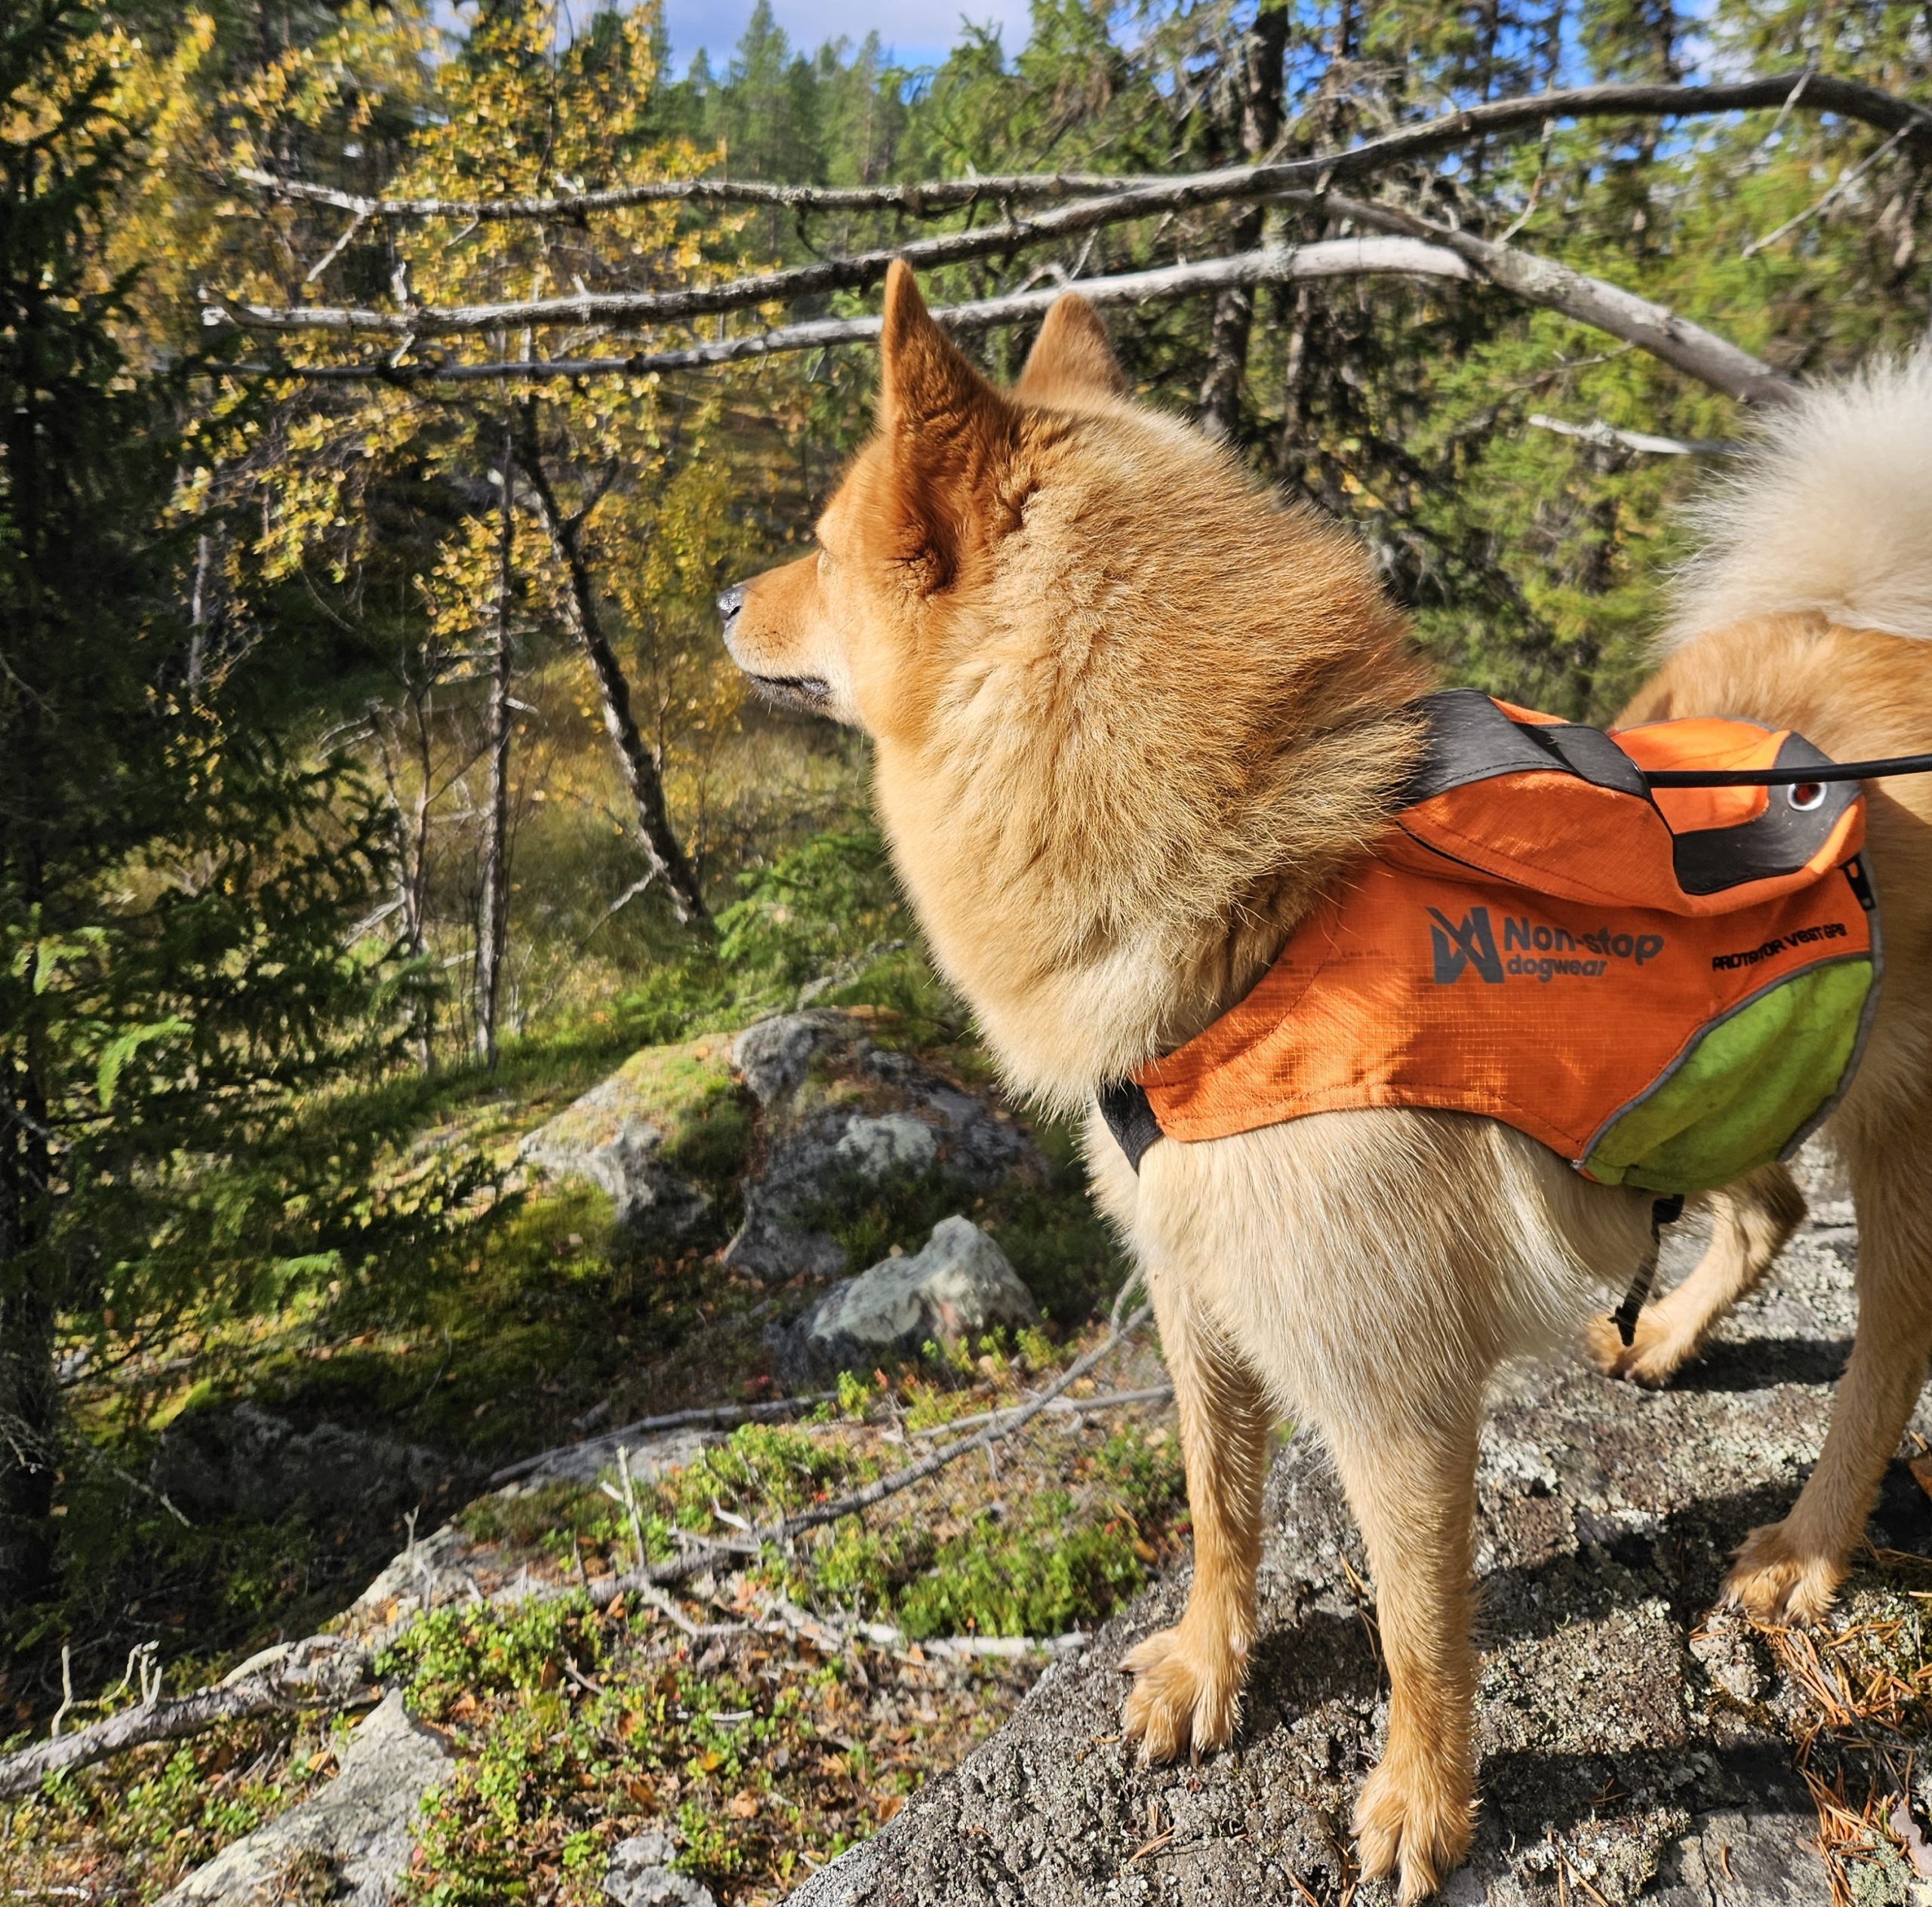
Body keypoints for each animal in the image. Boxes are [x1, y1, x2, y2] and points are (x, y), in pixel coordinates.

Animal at [718, 264, 1932, 1893]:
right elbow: (1217, 1503)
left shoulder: (1387, 1383)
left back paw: (1803, 1546)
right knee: (1764, 1210)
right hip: (1707, 1077)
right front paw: (1206, 1662)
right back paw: (1668, 1337)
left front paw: (1421, 1802)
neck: (1253, 886)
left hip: (1893, 1135)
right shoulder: (1198, 1291)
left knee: (1887, 1342)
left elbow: (1419, 1628)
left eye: (829, 542)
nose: (724, 602)